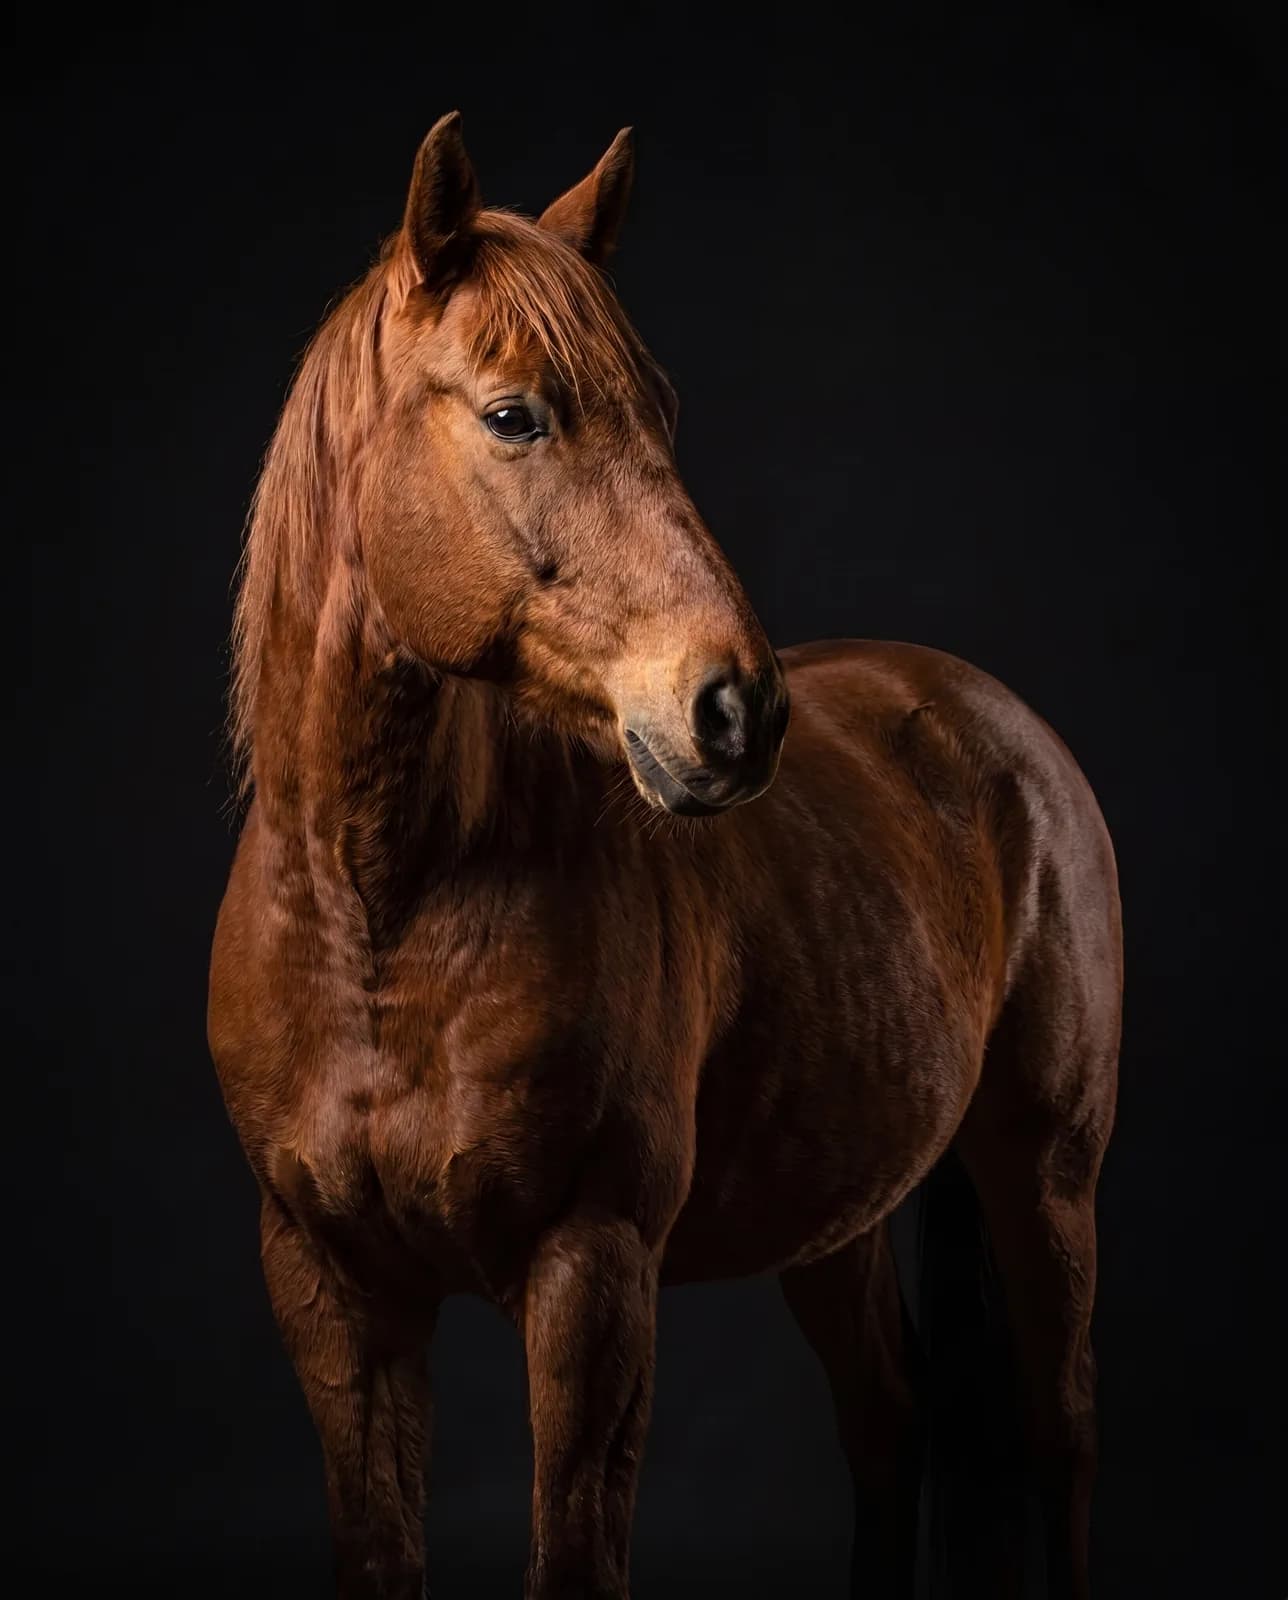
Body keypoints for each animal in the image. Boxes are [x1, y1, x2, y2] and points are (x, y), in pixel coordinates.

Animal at [208, 113, 1121, 1600]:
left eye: (665, 409)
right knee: (889, 1419)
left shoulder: (592, 1274)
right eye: (514, 414)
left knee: (1062, 1435)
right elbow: (380, 1547)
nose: (736, 709)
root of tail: (996, 722)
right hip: (840, 1214)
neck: (382, 919)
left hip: (1043, 1173)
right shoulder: (333, 1291)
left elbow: (575, 1552)